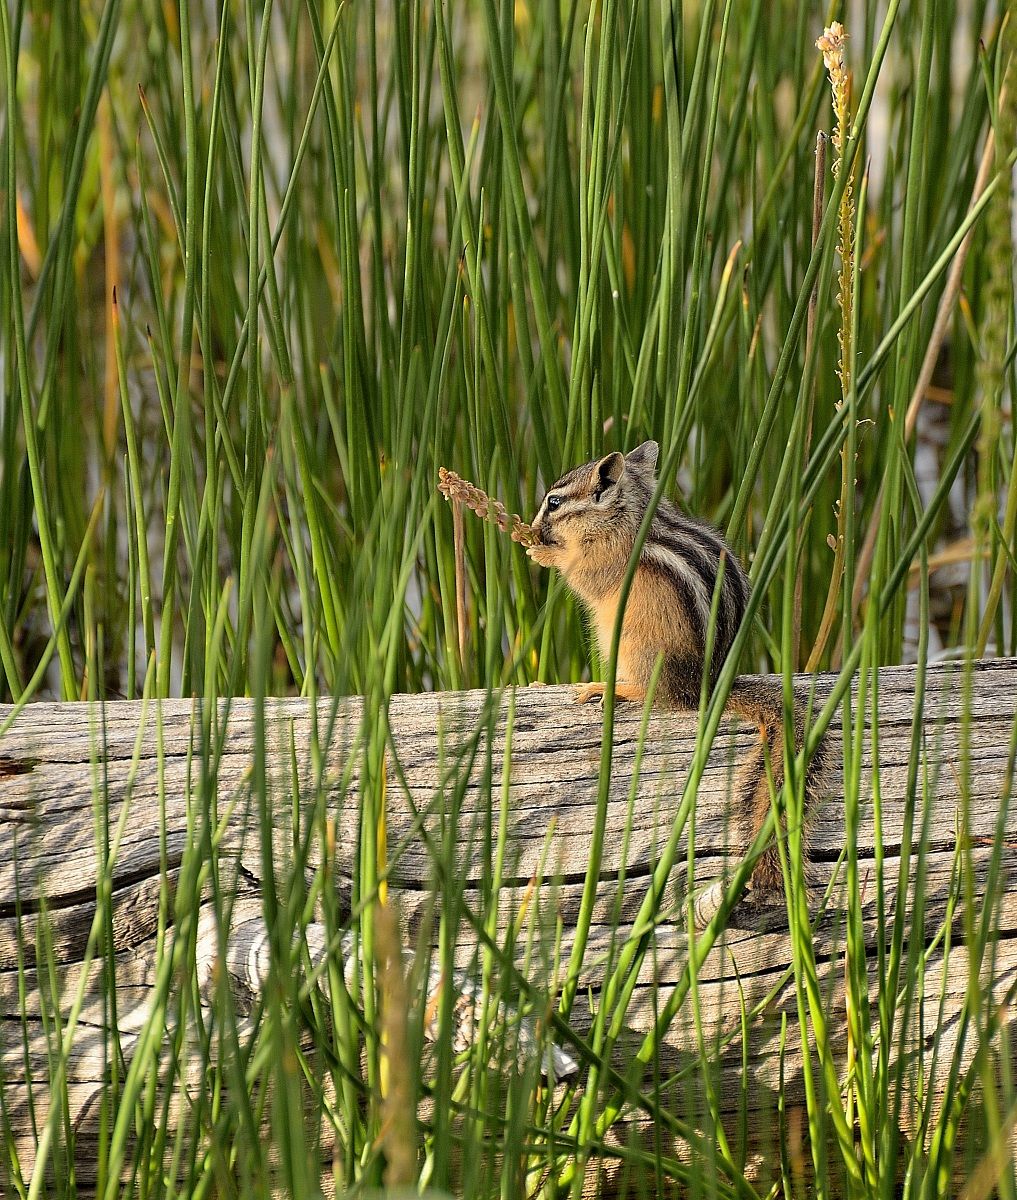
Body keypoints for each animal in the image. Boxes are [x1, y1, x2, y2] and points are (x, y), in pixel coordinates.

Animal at [526, 439, 829, 924]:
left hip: (631, 644)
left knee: (654, 693)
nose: (535, 529)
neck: (629, 515)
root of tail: (704, 686)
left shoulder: (602, 561)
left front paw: (543, 553)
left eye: (553, 503)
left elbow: (580, 575)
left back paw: (607, 687)